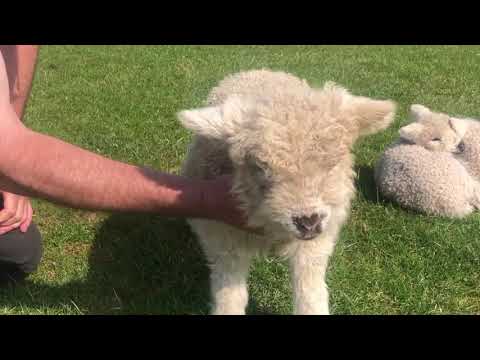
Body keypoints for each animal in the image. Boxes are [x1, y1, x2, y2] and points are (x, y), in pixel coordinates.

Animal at [178, 69, 396, 314]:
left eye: (332, 165)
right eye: (260, 168)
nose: (308, 221)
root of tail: (259, 70)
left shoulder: (316, 243)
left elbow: (310, 292)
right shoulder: (224, 239)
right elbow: (230, 295)